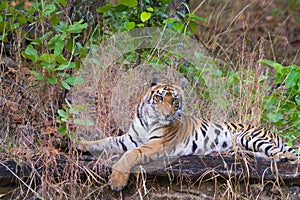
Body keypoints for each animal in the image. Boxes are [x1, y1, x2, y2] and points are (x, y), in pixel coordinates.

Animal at [78, 73, 298, 191]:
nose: (167, 114)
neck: (150, 120)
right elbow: (106, 141)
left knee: (287, 155)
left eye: (174, 100)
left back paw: (283, 158)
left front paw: (116, 181)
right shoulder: (130, 137)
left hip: (248, 136)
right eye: (159, 98)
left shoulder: (156, 143)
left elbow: (130, 154)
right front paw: (82, 144)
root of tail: (273, 132)